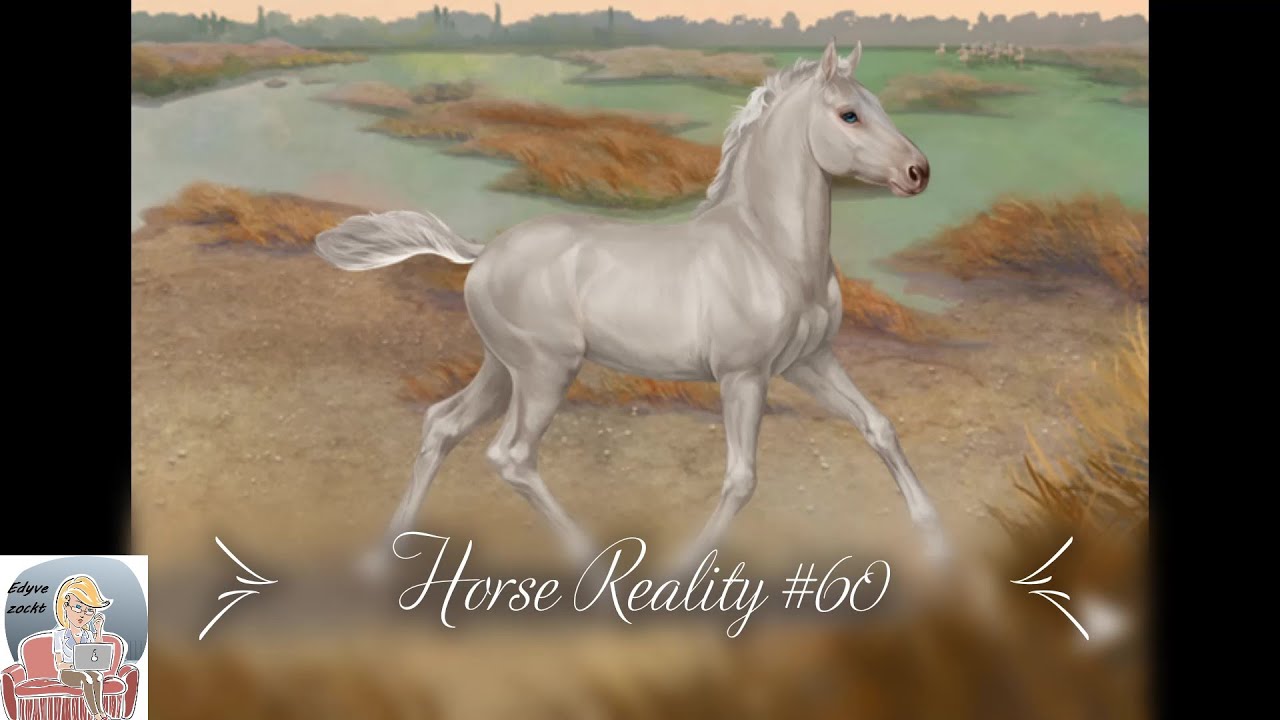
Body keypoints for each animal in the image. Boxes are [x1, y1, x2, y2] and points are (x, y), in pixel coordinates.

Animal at [315, 40, 951, 576]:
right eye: (849, 115)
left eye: (878, 105)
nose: (919, 172)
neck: (767, 247)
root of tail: (483, 252)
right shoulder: (744, 377)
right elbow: (742, 479)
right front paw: (685, 569)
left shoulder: (810, 363)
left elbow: (879, 427)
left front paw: (935, 537)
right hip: (545, 373)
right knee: (511, 455)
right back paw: (591, 563)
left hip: (502, 369)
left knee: (442, 426)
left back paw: (383, 558)